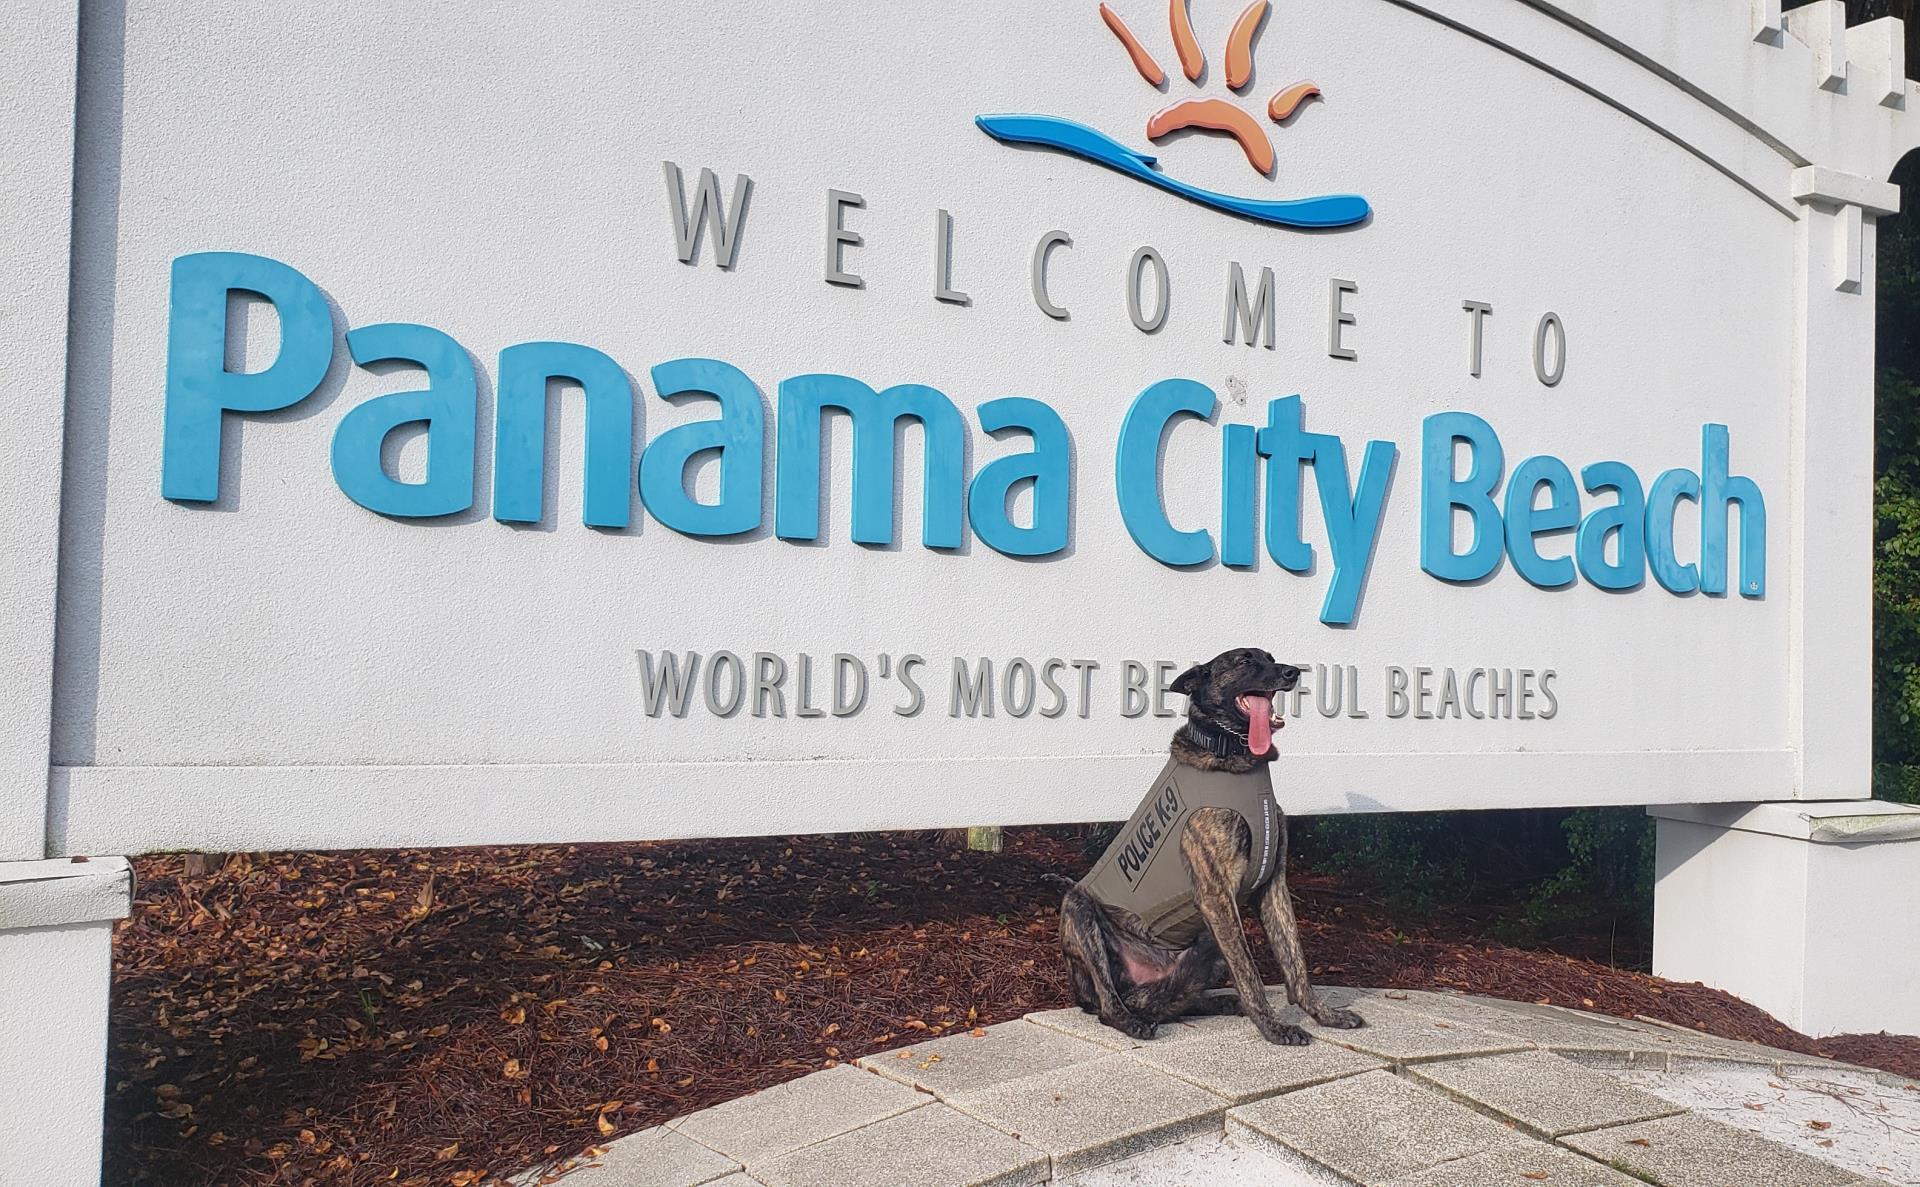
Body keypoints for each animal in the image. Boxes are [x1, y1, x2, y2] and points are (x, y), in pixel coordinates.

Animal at [1059, 645, 1359, 1044]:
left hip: (1208, 945)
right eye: (1245, 661)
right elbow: (1249, 973)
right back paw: (1130, 1020)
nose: (1293, 672)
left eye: (1270, 657)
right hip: (1078, 909)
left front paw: (1325, 1015)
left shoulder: (1273, 886)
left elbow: (1296, 961)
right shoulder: (1217, 897)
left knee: (1176, 1001)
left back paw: (1219, 1002)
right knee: (1110, 1004)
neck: (1231, 754)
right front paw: (1273, 1026)